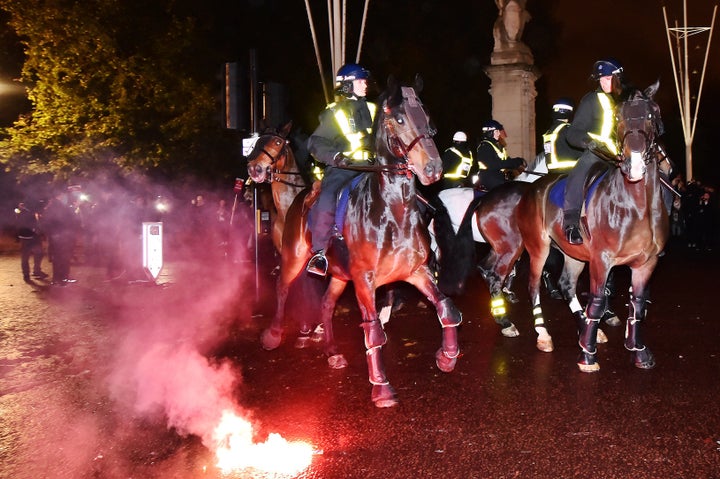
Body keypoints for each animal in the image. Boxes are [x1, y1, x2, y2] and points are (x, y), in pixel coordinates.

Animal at [252, 78, 462, 408]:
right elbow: (373, 331)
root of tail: (300, 200)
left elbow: (446, 307)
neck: (391, 211)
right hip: (293, 259)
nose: (433, 169)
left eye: (426, 115)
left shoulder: (416, 272)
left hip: (339, 275)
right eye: (399, 119)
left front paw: (447, 356)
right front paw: (381, 387)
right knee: (284, 288)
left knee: (326, 304)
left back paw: (332, 351)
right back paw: (273, 335)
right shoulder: (365, 281)